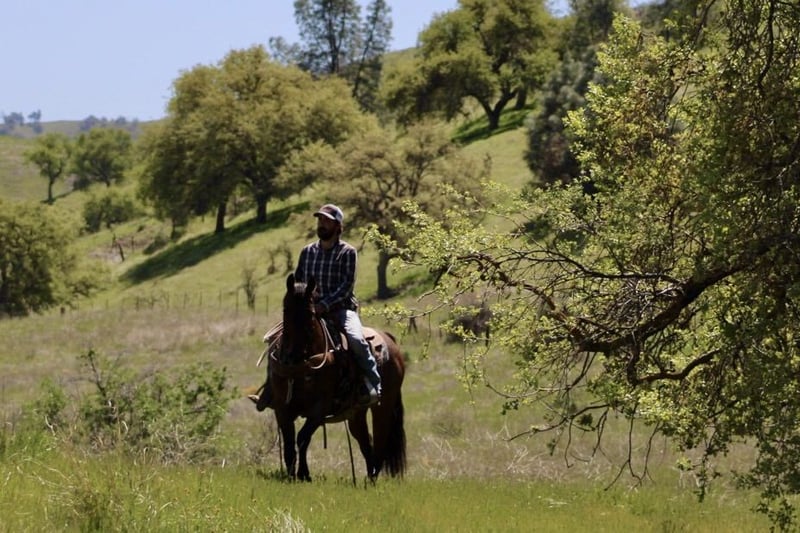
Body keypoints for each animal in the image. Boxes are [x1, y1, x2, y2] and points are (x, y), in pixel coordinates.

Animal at [255, 273, 406, 482]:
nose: (292, 356)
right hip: (356, 413)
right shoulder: (282, 409)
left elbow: (302, 438)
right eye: (286, 309)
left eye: (310, 313)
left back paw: (373, 478)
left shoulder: (319, 409)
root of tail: (391, 341)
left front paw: (304, 474)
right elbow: (289, 445)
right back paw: (369, 479)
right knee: (365, 441)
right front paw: (292, 475)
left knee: (380, 441)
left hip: (383, 406)